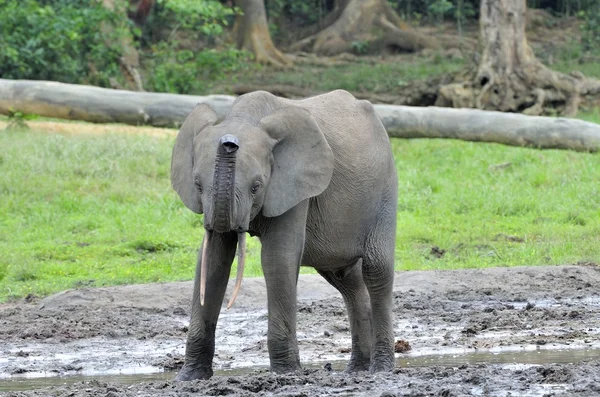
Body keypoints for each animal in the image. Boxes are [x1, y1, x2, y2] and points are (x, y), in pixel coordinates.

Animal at [172, 88, 398, 378]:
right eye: (198, 185)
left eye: (257, 186)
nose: (229, 143)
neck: (245, 118)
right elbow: (212, 261)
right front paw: (190, 378)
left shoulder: (295, 186)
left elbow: (278, 258)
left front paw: (287, 374)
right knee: (347, 279)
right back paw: (356, 370)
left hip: (385, 189)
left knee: (376, 270)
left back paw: (380, 369)